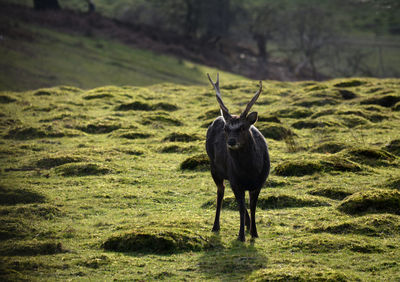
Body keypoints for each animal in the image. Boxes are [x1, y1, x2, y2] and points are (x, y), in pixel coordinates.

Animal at [206, 73, 268, 242]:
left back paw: (247, 224)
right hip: (215, 168)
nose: (231, 142)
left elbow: (252, 207)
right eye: (226, 128)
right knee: (221, 191)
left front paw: (254, 232)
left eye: (242, 127)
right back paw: (216, 226)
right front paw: (241, 236)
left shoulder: (259, 182)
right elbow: (241, 208)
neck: (250, 172)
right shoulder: (235, 180)